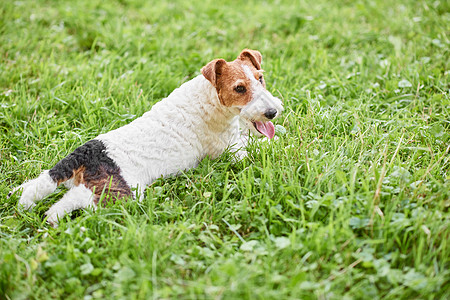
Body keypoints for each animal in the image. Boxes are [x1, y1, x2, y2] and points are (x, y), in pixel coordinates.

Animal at [8, 49, 284, 226]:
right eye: (239, 88)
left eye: (260, 78)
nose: (272, 112)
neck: (209, 98)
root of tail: (86, 154)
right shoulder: (230, 151)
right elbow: (260, 148)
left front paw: (280, 132)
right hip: (119, 191)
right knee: (74, 201)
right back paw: (51, 219)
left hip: (75, 182)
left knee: (38, 186)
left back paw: (24, 201)